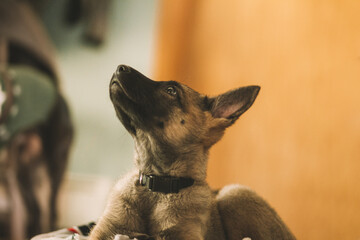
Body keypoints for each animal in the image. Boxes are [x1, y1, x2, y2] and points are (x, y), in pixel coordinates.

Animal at [89, 65, 296, 240]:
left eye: (171, 91)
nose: (119, 68)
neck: (156, 188)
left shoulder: (186, 235)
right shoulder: (103, 232)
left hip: (234, 193)